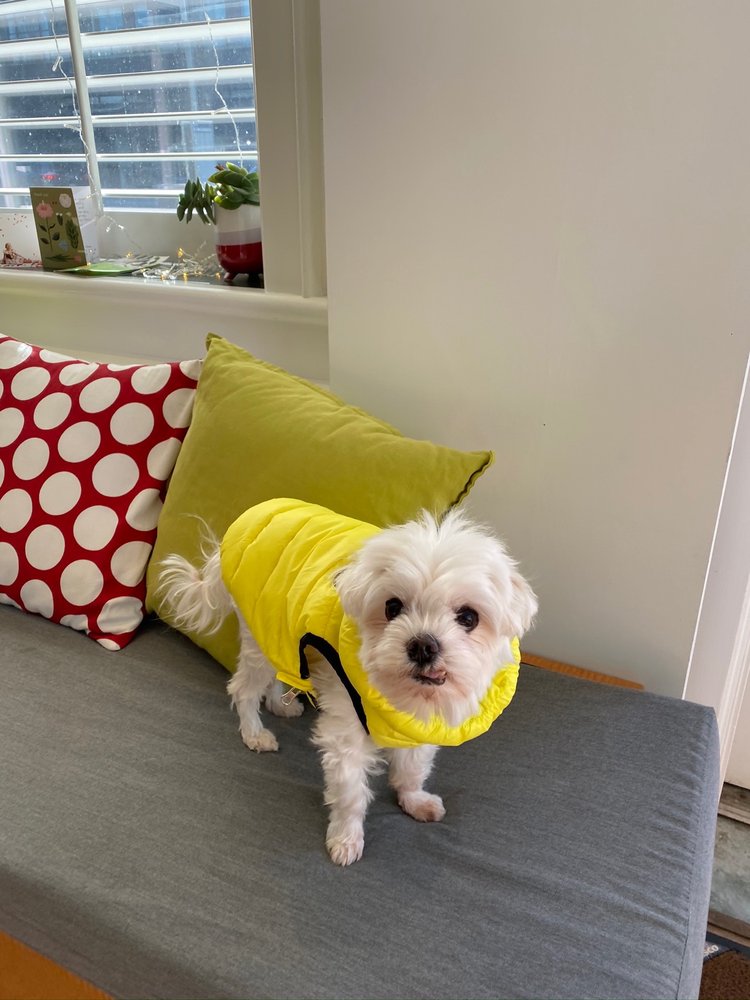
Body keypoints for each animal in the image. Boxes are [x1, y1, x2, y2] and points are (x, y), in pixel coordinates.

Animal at [158, 498, 537, 865]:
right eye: (392, 607)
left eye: (469, 617)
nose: (423, 645)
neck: (403, 696)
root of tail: (247, 519)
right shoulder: (347, 725)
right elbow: (351, 791)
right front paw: (345, 839)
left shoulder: (420, 725)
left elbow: (413, 767)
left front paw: (413, 800)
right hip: (259, 628)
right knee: (244, 688)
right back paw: (255, 733)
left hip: (278, 627)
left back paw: (280, 705)